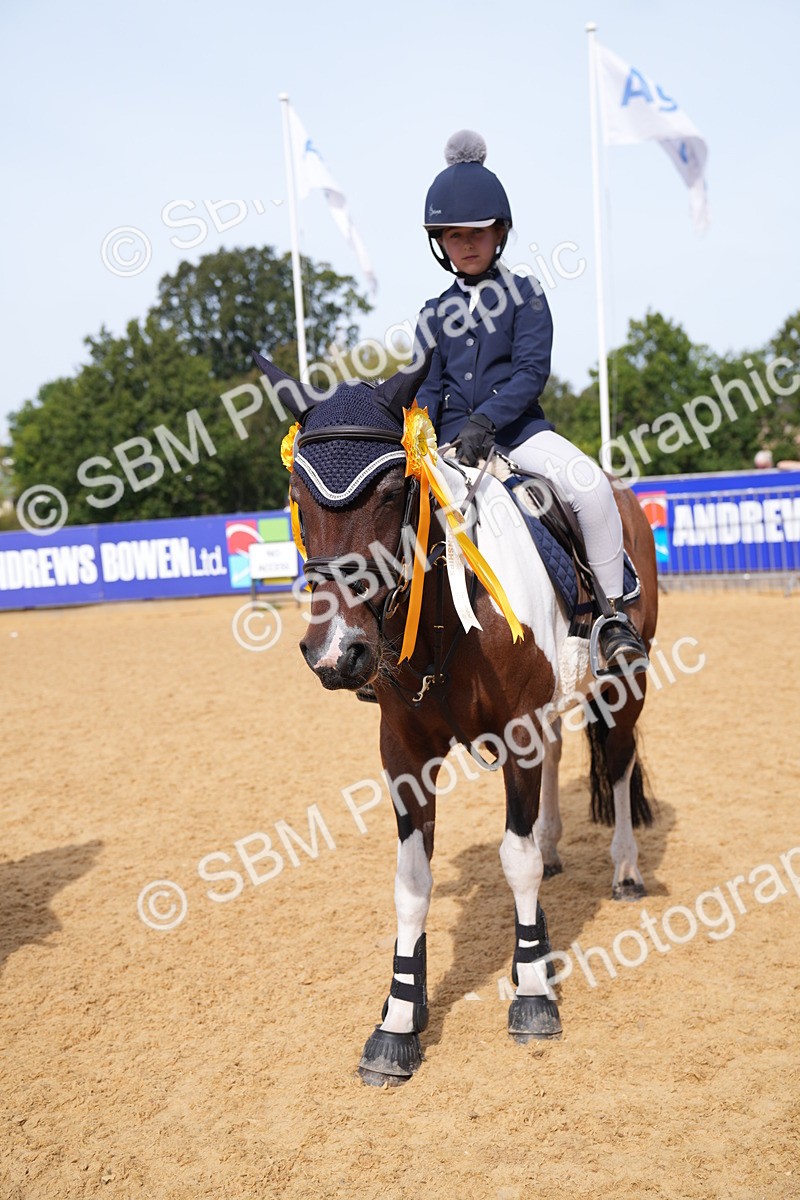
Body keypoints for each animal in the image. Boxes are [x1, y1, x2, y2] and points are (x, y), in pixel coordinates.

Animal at [253, 349, 658, 1087]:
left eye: (392, 493)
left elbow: (515, 861)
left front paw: (532, 992)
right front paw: (398, 1020)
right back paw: (557, 857)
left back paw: (625, 872)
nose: (336, 652)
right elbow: (412, 883)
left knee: (617, 766)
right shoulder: (404, 750)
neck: (448, 610)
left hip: (626, 684)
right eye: (297, 497)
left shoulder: (519, 731)